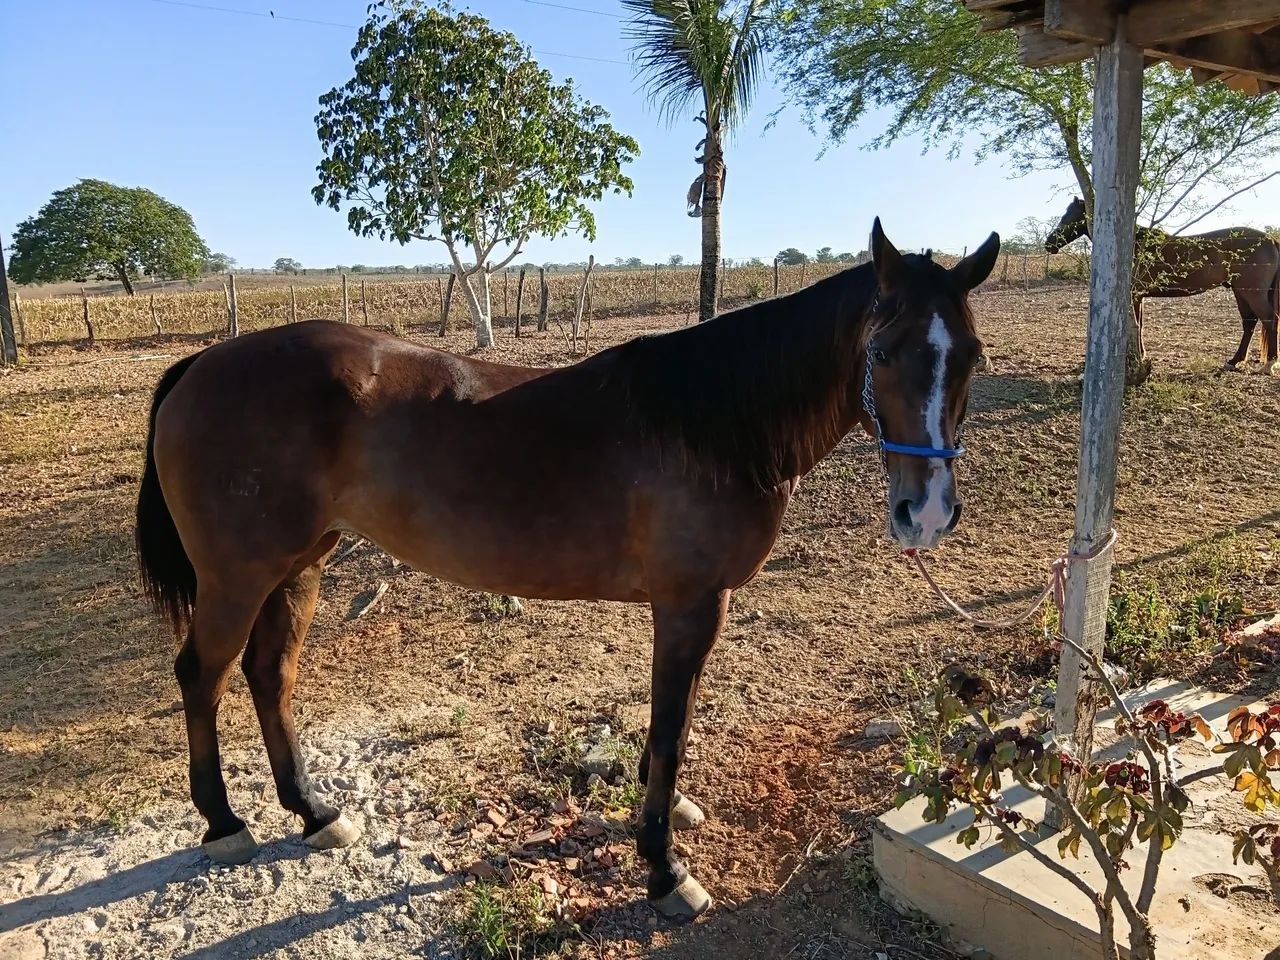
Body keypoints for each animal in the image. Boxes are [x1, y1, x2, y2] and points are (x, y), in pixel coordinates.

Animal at [134, 219, 999, 919]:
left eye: (972, 356)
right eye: (881, 352)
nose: (926, 513)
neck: (713, 424)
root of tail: (203, 364)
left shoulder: (698, 607)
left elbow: (673, 724)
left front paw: (665, 817)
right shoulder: (689, 603)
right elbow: (672, 726)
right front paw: (664, 869)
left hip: (299, 568)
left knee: (268, 675)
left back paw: (314, 812)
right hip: (239, 577)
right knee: (202, 675)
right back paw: (224, 824)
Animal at [1044, 196, 1280, 373]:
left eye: (1069, 217)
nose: (1049, 244)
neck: (1133, 244)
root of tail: (1270, 240)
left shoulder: (1134, 295)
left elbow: (1136, 326)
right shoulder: (1139, 296)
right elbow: (1139, 325)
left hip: (1253, 293)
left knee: (1269, 320)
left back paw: (1268, 364)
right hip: (1241, 292)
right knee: (1249, 323)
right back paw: (1234, 361)